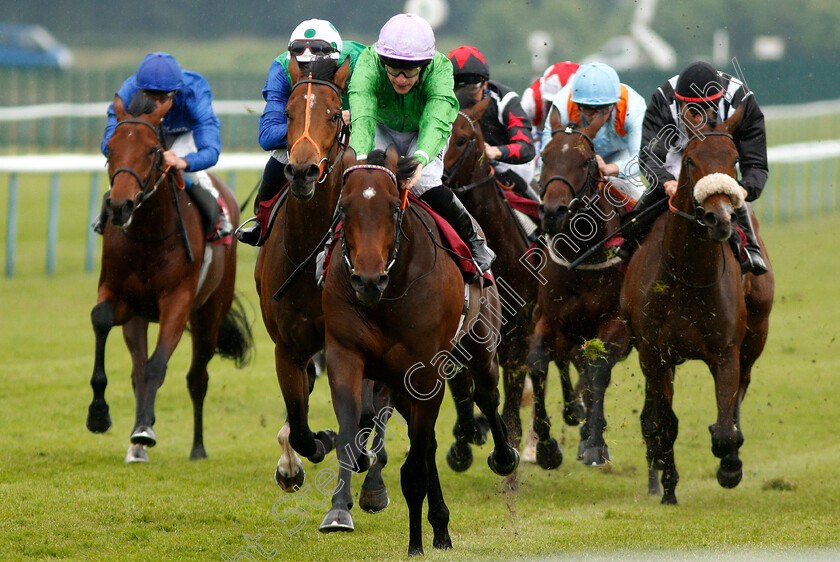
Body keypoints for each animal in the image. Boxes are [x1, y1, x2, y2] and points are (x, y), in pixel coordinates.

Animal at [89, 94, 253, 460]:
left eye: (152, 150)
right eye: (110, 146)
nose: (120, 206)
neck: (148, 234)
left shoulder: (178, 301)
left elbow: (157, 366)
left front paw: (144, 429)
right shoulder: (120, 296)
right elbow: (102, 320)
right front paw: (99, 414)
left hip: (209, 314)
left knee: (197, 378)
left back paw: (197, 448)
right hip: (138, 318)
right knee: (137, 370)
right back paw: (136, 445)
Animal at [324, 147, 516, 552]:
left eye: (393, 208)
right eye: (344, 208)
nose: (367, 280)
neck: (390, 293)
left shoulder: (428, 371)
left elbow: (413, 468)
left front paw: (415, 544)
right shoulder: (345, 354)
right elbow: (350, 431)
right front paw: (339, 510)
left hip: (481, 344)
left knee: (486, 395)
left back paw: (504, 457)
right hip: (400, 383)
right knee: (425, 443)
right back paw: (439, 526)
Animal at [440, 93, 564, 468]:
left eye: (462, 139)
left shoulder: (519, 330)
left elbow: (516, 385)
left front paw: (518, 441)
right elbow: (460, 382)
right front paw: (464, 439)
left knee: (539, 374)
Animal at [528, 108, 632, 464]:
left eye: (586, 161)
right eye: (545, 156)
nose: (553, 212)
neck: (580, 260)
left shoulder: (617, 323)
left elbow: (597, 369)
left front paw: (595, 442)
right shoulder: (551, 320)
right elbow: (537, 361)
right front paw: (546, 446)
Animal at [624, 105, 776, 504]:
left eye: (734, 159)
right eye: (691, 160)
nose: (719, 217)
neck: (688, 277)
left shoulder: (726, 352)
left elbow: (724, 428)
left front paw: (730, 466)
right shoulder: (655, 354)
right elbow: (665, 422)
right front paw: (668, 487)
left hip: (756, 335)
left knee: (741, 392)